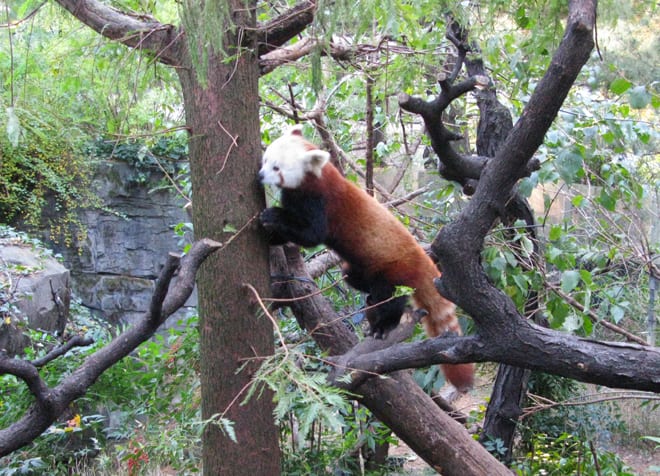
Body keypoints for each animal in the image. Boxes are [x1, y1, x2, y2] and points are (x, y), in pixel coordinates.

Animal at [258, 125, 474, 390]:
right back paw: (369, 299)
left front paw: (272, 216)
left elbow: (309, 234)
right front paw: (270, 235)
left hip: (393, 269)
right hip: (358, 268)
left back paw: (385, 323)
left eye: (277, 168)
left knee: (391, 296)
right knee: (352, 276)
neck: (316, 179)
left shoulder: (322, 204)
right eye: (265, 160)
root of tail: (422, 259)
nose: (260, 176)